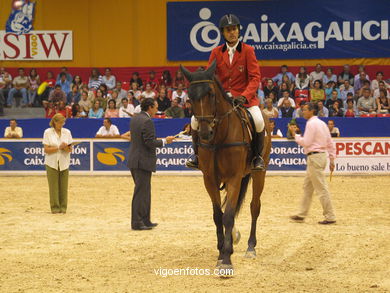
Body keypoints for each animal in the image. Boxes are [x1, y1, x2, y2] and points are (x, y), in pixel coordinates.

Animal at [181, 61, 270, 274]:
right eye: (190, 97)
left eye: (211, 94)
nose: (205, 133)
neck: (218, 137)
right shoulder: (210, 179)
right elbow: (218, 215)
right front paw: (222, 249)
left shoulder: (233, 178)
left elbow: (228, 215)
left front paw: (226, 258)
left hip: (259, 174)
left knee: (254, 207)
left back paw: (250, 247)